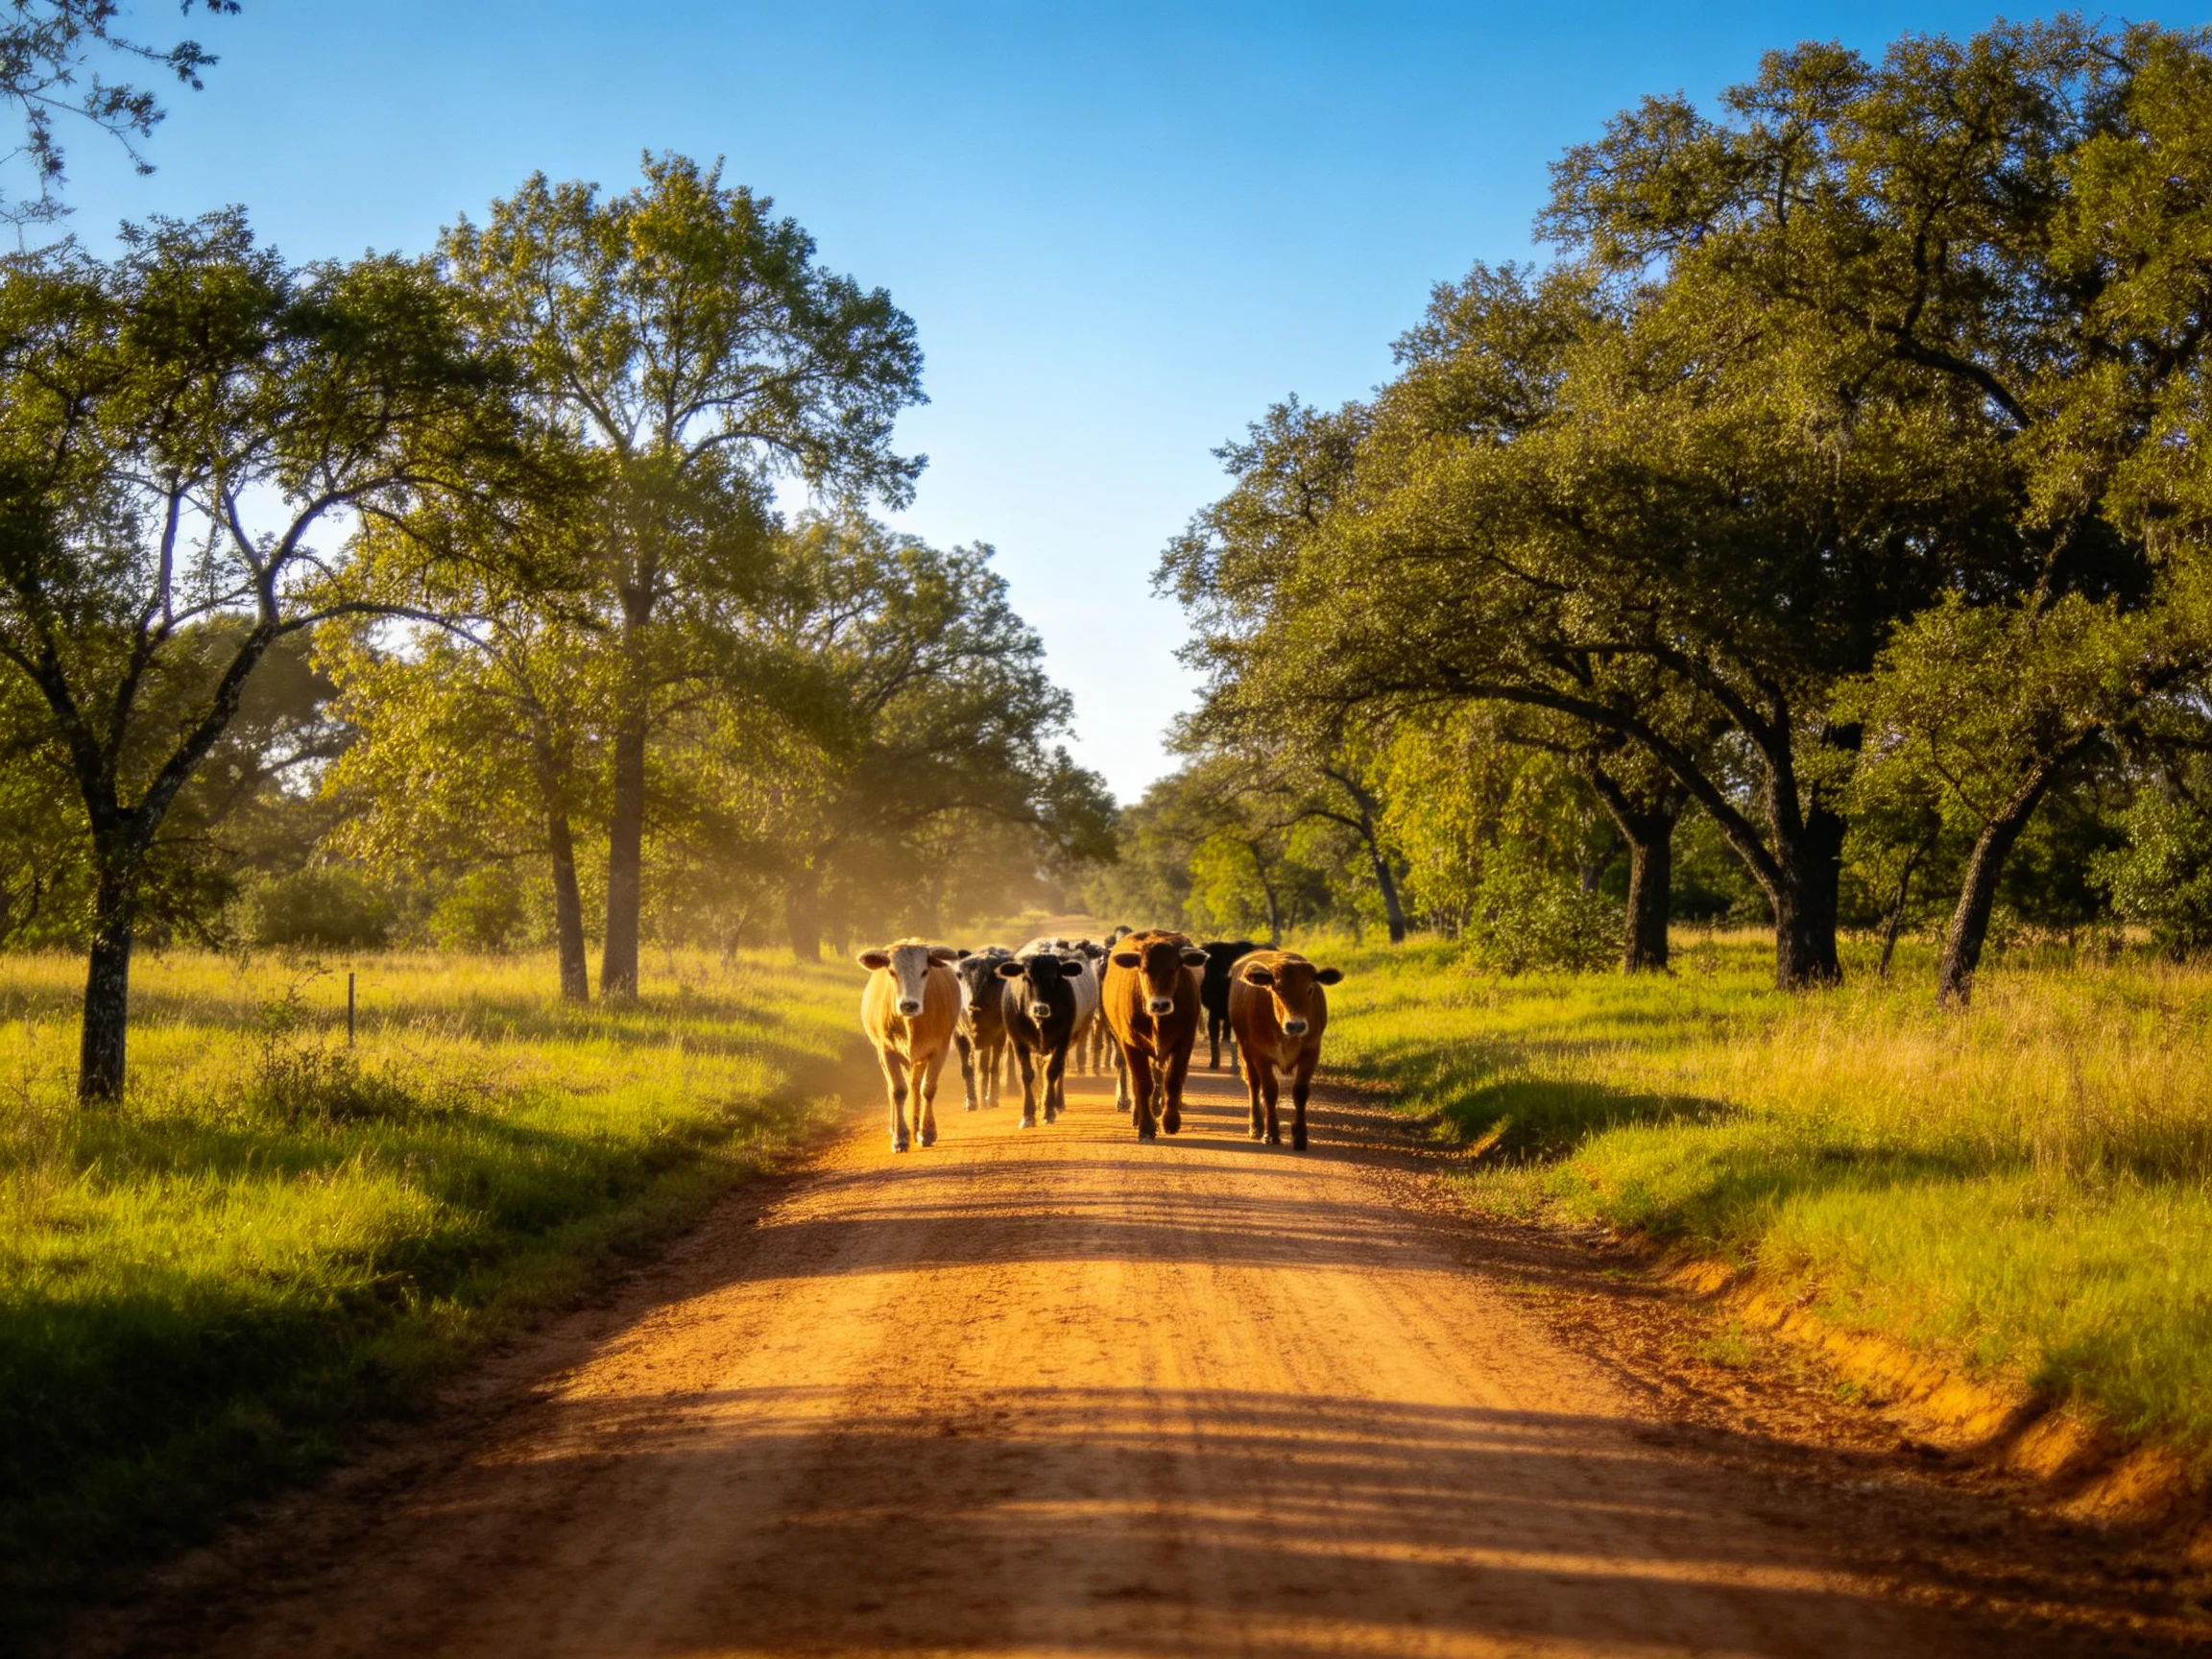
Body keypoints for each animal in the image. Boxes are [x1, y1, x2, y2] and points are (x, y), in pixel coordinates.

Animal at [857, 939, 962, 1153]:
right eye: (892, 972)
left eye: (924, 971)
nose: (909, 1005)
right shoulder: (886, 1051)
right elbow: (898, 1090)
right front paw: (900, 1137)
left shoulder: (939, 1049)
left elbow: (927, 1089)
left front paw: (927, 1132)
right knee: (892, 1087)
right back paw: (895, 1126)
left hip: (920, 1059)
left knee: (915, 1085)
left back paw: (916, 1126)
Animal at [952, 947, 1014, 1110]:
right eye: (959, 975)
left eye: (991, 978)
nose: (973, 1005)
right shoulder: (960, 1036)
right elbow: (968, 1068)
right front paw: (971, 1101)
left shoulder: (999, 1035)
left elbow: (993, 1067)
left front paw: (992, 1098)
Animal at [998, 945, 1088, 1128]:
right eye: (1026, 978)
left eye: (1055, 978)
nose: (1040, 1009)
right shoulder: (1018, 1042)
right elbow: (1027, 1075)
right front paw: (1028, 1115)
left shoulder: (1062, 1040)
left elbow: (1051, 1072)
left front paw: (1048, 1111)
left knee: (1057, 1071)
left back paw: (1056, 1104)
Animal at [1101, 929, 1208, 1140]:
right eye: (1143, 970)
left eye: (1174, 969)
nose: (1160, 1004)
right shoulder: (1131, 1044)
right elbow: (1142, 1084)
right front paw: (1146, 1126)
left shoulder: (1184, 1042)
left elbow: (1171, 1081)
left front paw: (1170, 1121)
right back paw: (1136, 1113)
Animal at [1227, 949, 1344, 1151]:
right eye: (1276, 989)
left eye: (1310, 989)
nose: (1296, 1025)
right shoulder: (1261, 1055)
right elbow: (1270, 1091)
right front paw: (1271, 1133)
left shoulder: (1311, 1053)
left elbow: (1300, 1092)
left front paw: (1300, 1136)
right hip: (1246, 1051)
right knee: (1254, 1084)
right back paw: (1256, 1125)